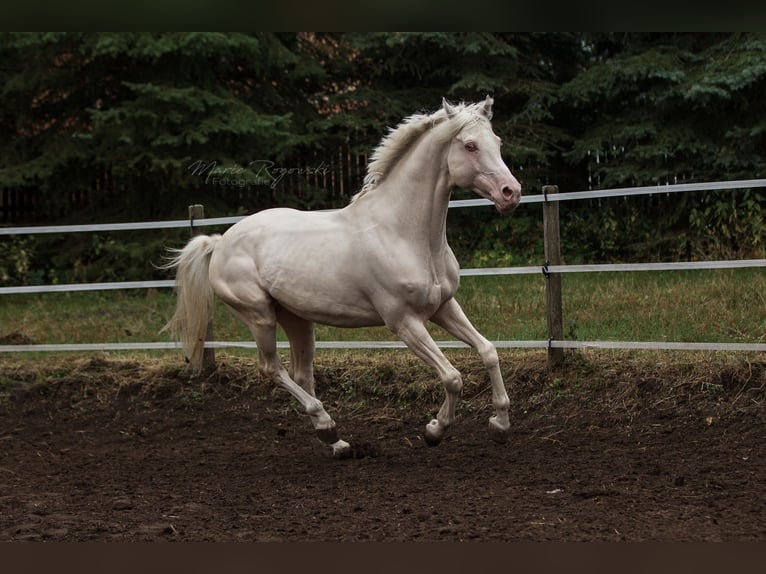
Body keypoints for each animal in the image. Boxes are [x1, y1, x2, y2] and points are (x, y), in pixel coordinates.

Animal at [164, 96, 522, 458]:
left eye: (498, 142)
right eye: (470, 145)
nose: (511, 193)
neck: (404, 233)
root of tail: (220, 241)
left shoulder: (443, 306)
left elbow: (488, 351)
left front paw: (500, 426)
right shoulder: (404, 321)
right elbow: (452, 377)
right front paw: (435, 430)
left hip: (296, 319)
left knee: (301, 373)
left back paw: (336, 442)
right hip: (259, 316)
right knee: (272, 369)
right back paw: (327, 425)